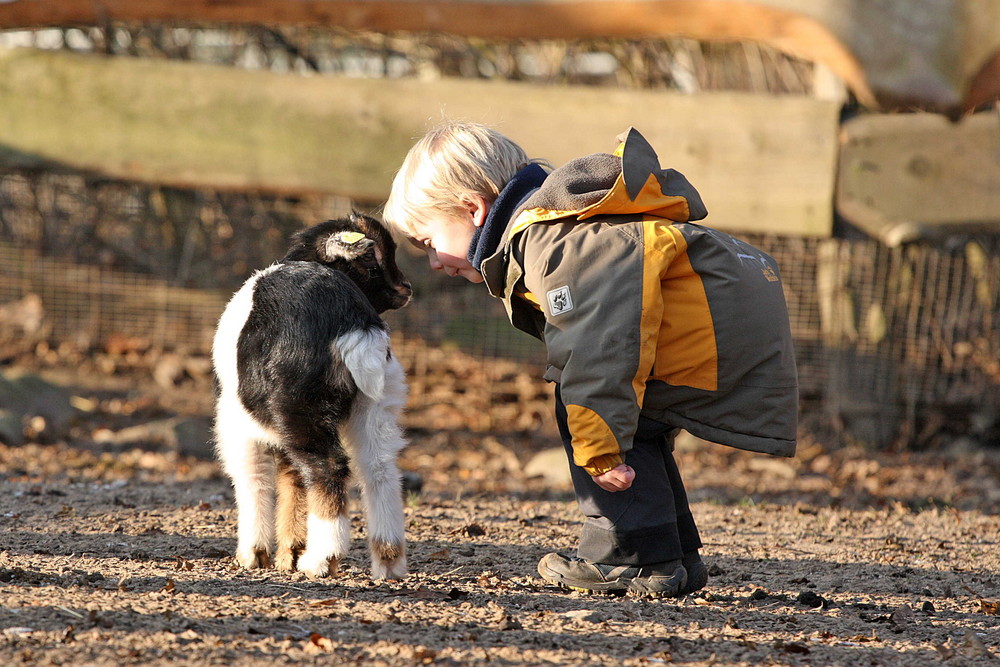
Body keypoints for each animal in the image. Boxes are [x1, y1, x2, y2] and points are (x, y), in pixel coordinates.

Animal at [211, 213, 414, 580]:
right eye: (373, 258)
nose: (406, 289)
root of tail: (353, 322)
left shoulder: (238, 423)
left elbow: (253, 477)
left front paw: (255, 555)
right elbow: (292, 480)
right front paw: (288, 553)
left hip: (298, 408)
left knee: (328, 468)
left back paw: (321, 559)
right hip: (376, 403)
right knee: (378, 467)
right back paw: (388, 560)